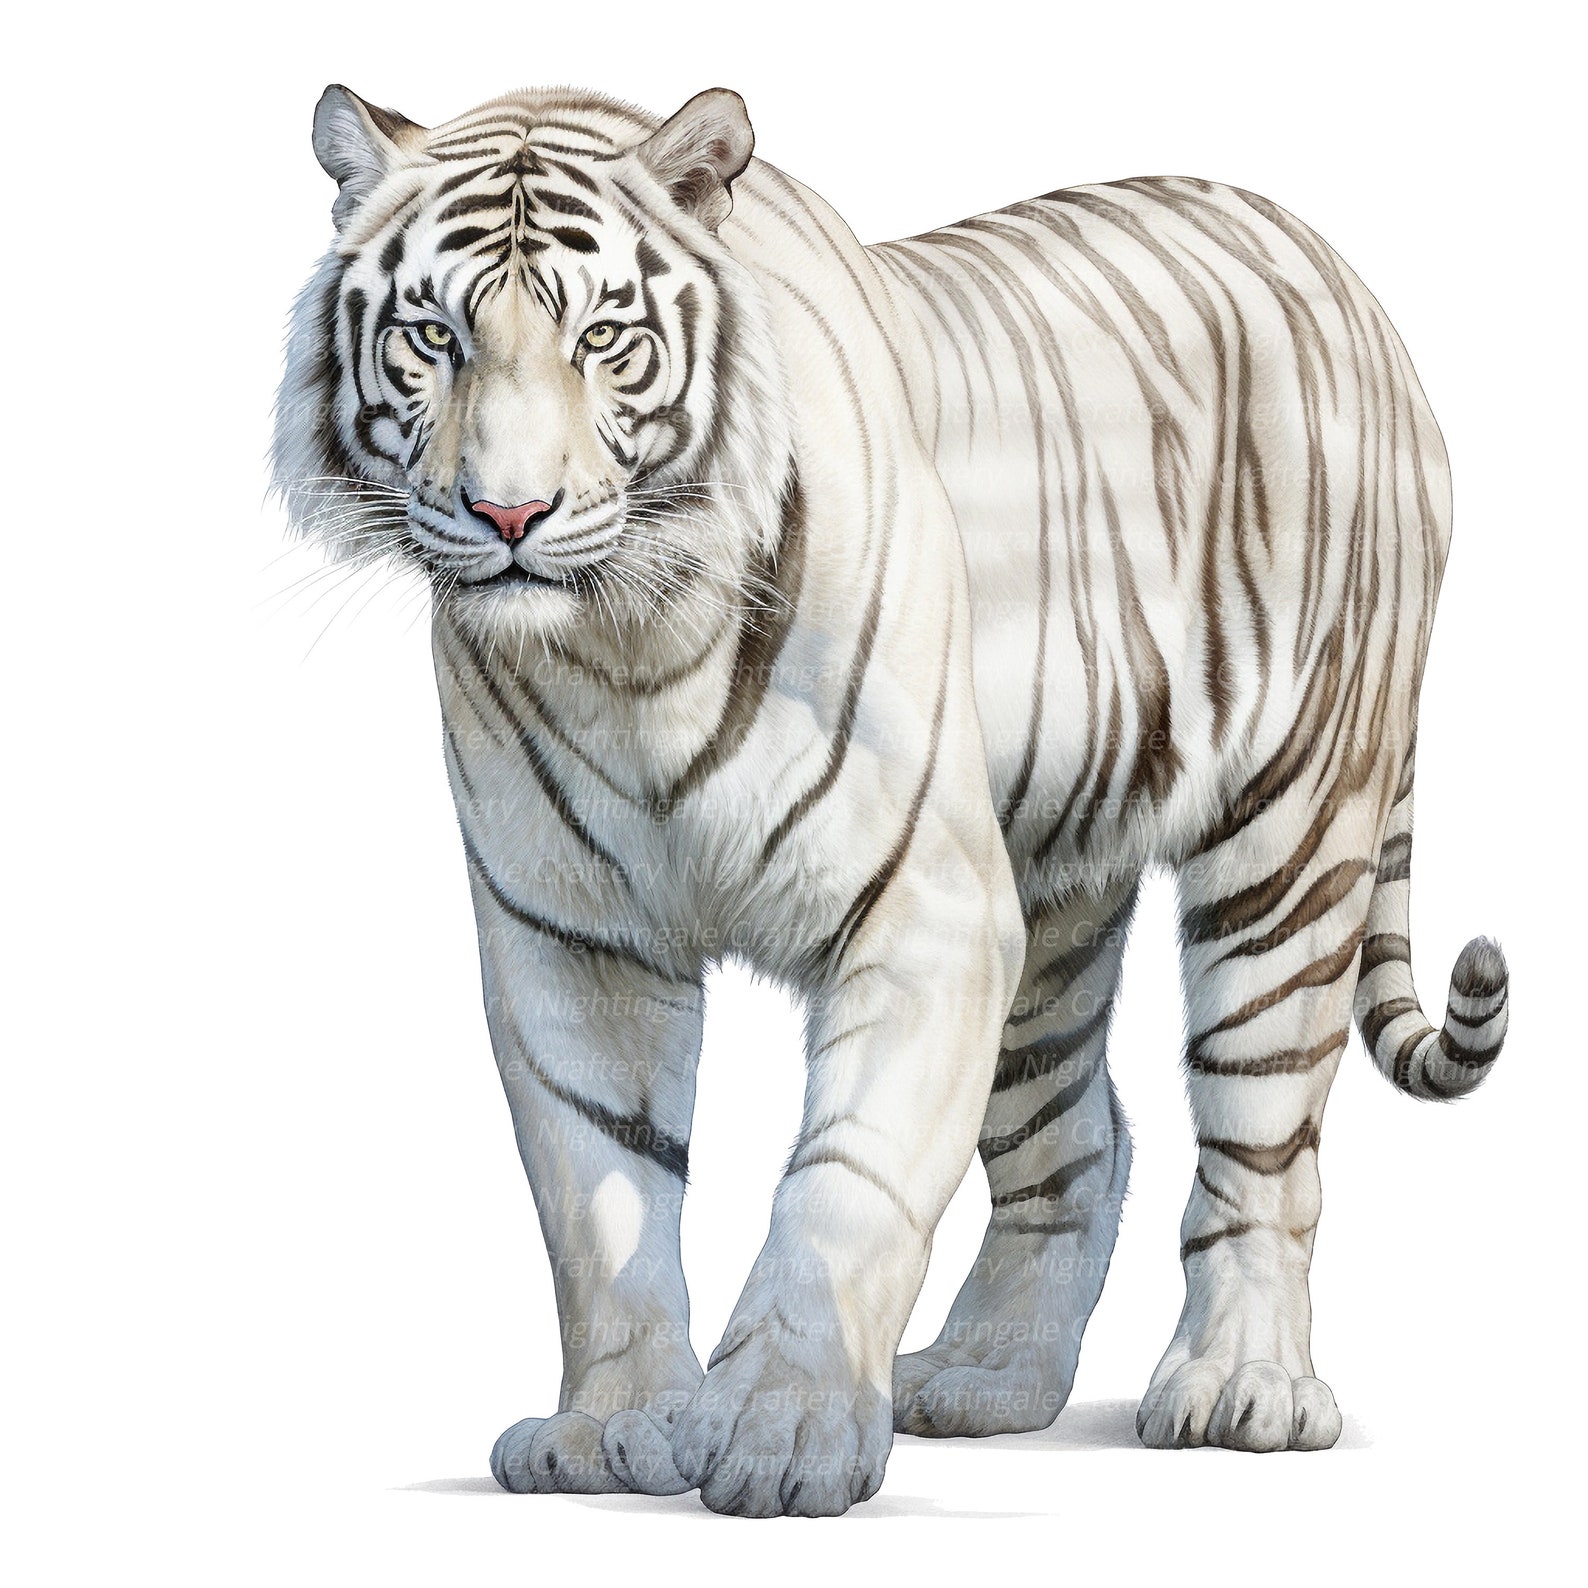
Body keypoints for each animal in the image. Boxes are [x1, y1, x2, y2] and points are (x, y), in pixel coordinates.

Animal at [273, 82, 1510, 1516]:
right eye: (434, 335)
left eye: (604, 338)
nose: (509, 513)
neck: (623, 646)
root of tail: (1327, 257)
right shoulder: (570, 939)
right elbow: (599, 1192)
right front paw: (608, 1429)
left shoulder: (922, 907)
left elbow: (845, 1181)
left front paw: (782, 1432)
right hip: (1049, 883)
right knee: (1076, 1139)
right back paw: (986, 1378)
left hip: (1292, 824)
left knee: (1261, 1131)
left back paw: (1238, 1386)